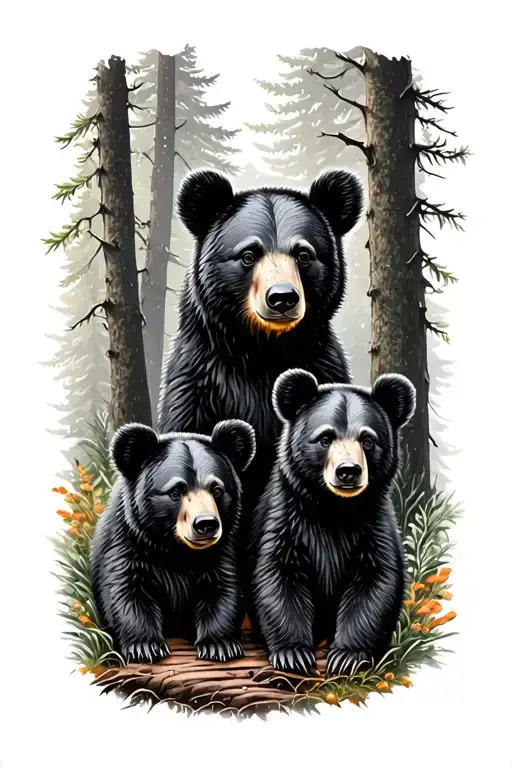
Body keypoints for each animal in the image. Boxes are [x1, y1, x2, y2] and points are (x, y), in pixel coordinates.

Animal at [91, 418, 256, 665]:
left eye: (216, 489)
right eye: (176, 491)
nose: (206, 524)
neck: (174, 549)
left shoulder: (220, 552)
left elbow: (223, 589)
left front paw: (219, 644)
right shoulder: (128, 543)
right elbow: (126, 590)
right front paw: (145, 646)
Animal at [157, 168, 364, 547]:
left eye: (304, 254)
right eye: (249, 254)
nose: (282, 297)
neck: (262, 353)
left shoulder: (322, 368)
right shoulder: (201, 386)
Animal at [249, 368, 415, 678]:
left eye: (367, 440)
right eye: (325, 438)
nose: (348, 471)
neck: (334, 509)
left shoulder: (373, 526)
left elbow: (375, 582)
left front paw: (347, 656)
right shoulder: (289, 522)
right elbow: (278, 576)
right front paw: (293, 653)